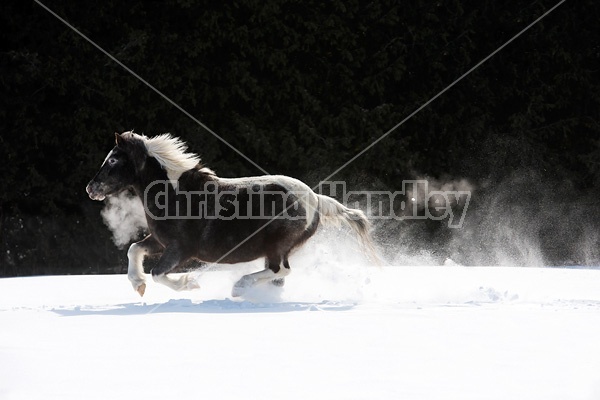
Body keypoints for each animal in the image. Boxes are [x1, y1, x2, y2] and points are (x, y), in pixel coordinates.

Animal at [86, 132, 378, 296]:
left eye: (113, 159)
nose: (91, 188)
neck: (174, 194)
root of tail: (315, 199)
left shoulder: (180, 249)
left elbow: (158, 273)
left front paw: (189, 284)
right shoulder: (160, 242)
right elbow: (134, 249)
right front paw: (138, 285)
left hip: (277, 246)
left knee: (280, 270)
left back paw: (239, 287)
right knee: (277, 277)